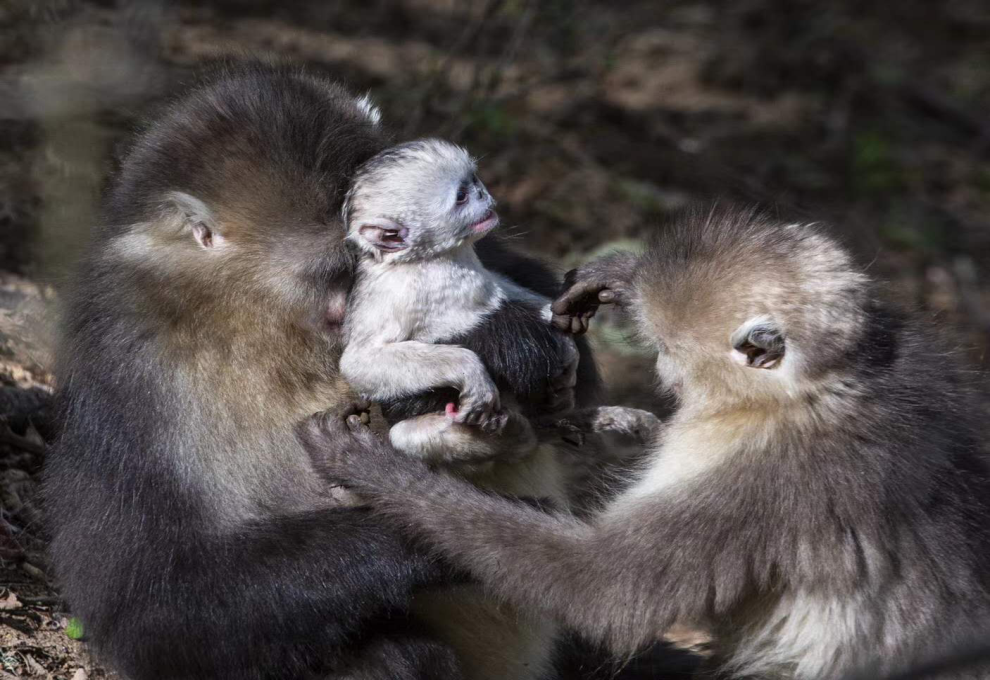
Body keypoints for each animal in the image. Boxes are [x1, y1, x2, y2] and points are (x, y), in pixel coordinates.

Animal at [42, 65, 592, 680]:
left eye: (362, 266)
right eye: (340, 272)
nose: (360, 312)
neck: (254, 319)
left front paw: (504, 344)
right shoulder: (129, 366)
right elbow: (151, 609)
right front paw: (451, 531)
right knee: (399, 654)